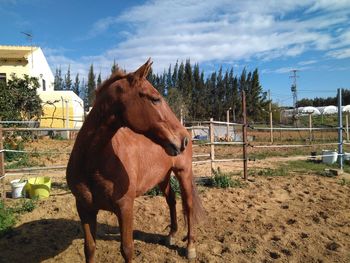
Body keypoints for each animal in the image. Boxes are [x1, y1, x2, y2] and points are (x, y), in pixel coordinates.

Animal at [66, 60, 202, 262]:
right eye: (155, 99)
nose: (183, 139)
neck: (93, 163)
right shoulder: (84, 208)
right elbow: (89, 248)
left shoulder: (125, 208)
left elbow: (127, 249)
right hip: (162, 177)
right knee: (171, 200)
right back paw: (170, 235)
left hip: (183, 173)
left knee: (189, 206)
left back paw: (190, 247)